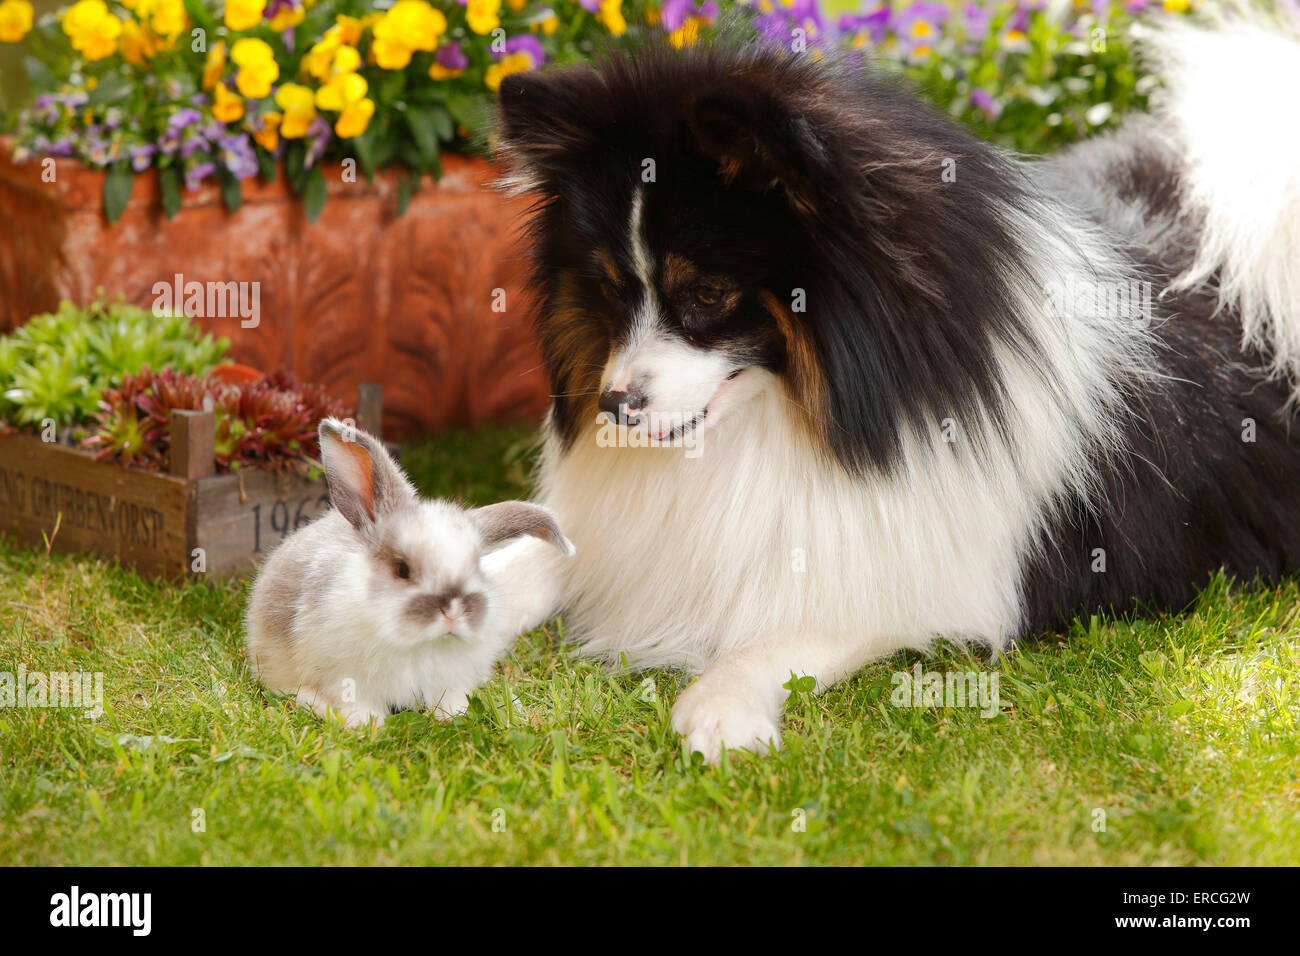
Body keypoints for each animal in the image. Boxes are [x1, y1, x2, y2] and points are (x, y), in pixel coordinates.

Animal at [245, 416, 572, 728]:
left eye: (477, 566)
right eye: (402, 569)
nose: (453, 611)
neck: (420, 644)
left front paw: (453, 715)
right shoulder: (344, 675)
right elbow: (355, 700)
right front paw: (367, 723)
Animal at [483, 14, 1300, 764]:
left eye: (707, 294)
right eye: (610, 288)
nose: (614, 406)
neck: (795, 416)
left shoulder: (937, 571)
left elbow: (806, 626)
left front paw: (721, 702)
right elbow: (539, 557)